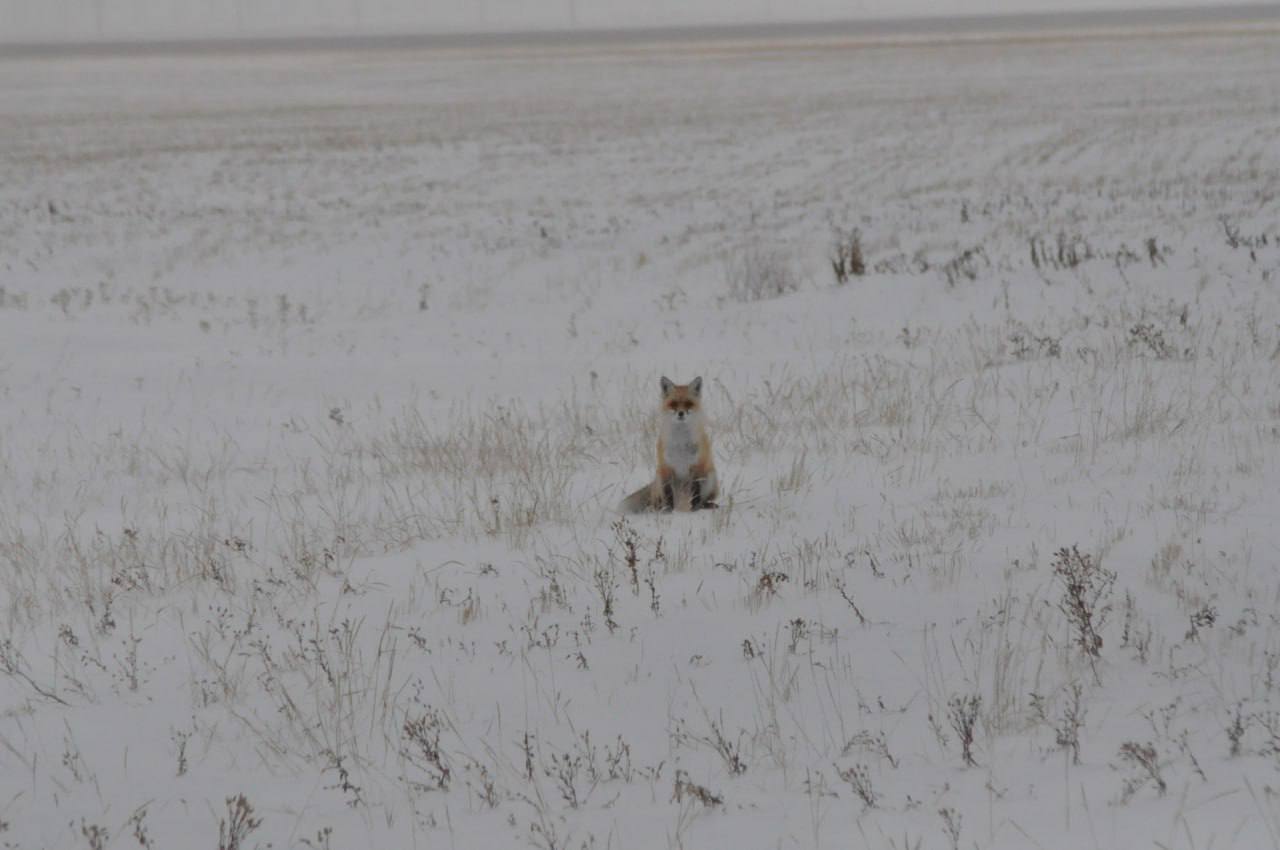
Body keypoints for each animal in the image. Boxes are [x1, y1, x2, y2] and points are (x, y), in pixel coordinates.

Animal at [619, 376, 721, 512]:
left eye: (688, 403)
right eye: (673, 404)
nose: (681, 413)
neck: (681, 443)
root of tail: (681, 505)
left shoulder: (696, 467)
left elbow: (696, 493)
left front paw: (694, 509)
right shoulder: (666, 468)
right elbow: (668, 494)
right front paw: (668, 510)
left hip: (710, 478)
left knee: (704, 498)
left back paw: (706, 505)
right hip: (659, 478)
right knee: (656, 501)